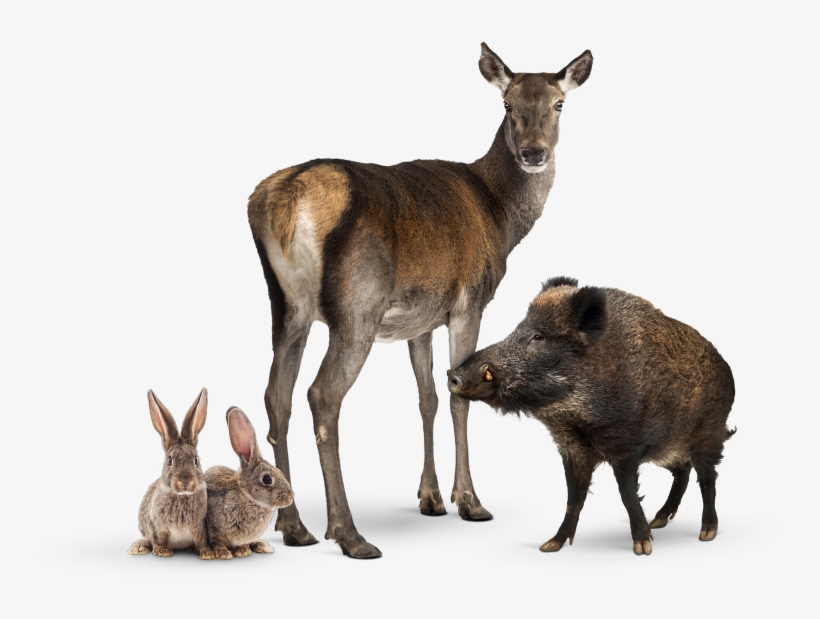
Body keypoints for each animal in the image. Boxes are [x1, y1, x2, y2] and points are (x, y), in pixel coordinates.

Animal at [127, 388, 214, 559]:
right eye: (169, 460)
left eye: (196, 459)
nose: (185, 481)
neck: (182, 496)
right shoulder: (157, 527)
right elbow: (158, 539)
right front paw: (162, 552)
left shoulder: (199, 528)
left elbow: (202, 541)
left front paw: (207, 554)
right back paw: (139, 547)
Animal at [204, 406, 294, 559]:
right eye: (267, 479)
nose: (290, 497)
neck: (247, 495)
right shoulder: (214, 527)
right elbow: (217, 541)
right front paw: (224, 554)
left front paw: (243, 551)